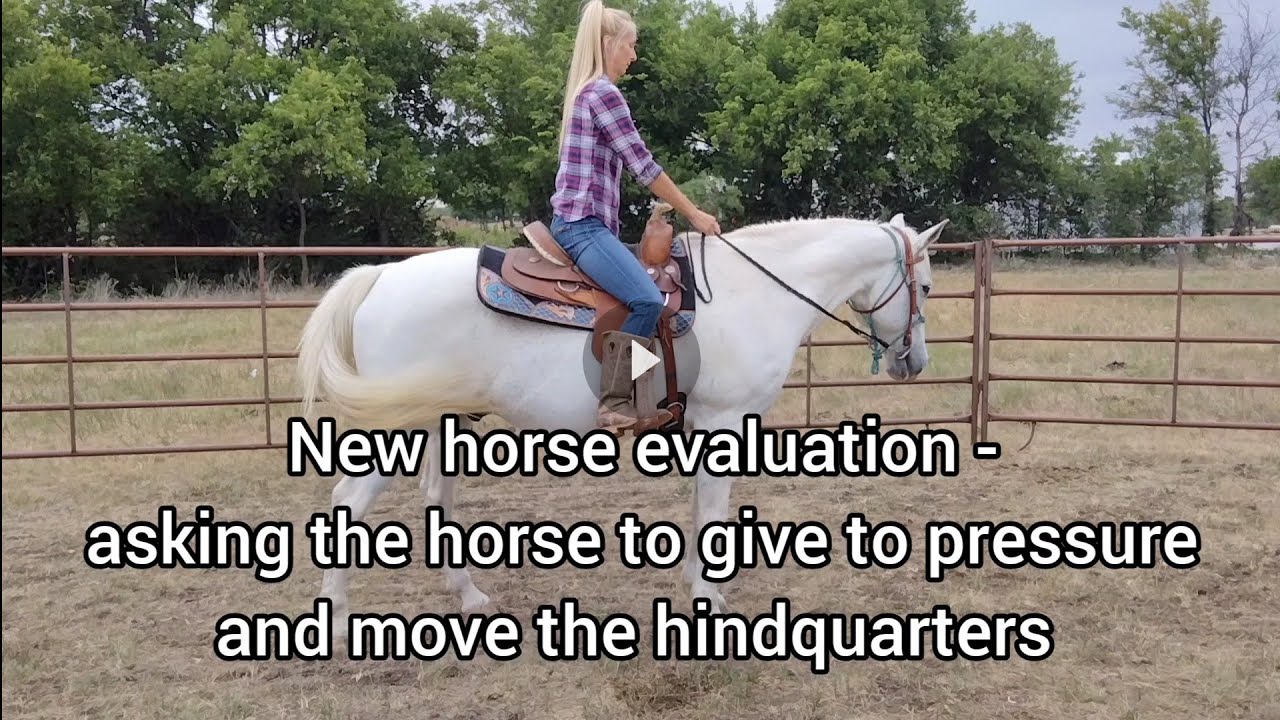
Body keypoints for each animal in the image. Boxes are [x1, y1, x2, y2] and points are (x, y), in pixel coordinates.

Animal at [294, 211, 948, 632]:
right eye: (926, 283)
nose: (915, 361)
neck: (753, 292)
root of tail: (381, 276)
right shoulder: (724, 421)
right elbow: (714, 513)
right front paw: (708, 602)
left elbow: (700, 512)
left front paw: (696, 588)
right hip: (396, 425)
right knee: (348, 501)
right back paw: (337, 619)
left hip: (443, 419)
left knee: (436, 498)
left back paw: (471, 597)